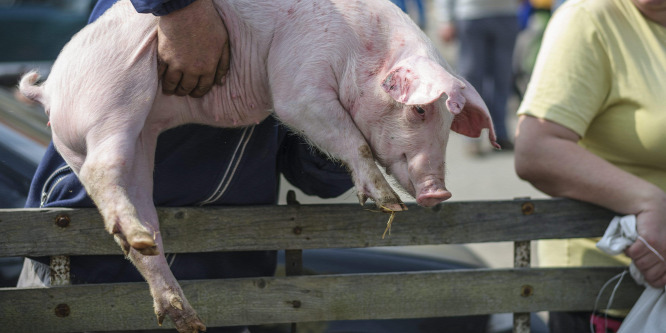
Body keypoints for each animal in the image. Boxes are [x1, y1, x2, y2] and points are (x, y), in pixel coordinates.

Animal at [18, 0, 496, 330]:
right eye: (419, 110)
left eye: (450, 123)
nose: (439, 191)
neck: (360, 51)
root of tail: (50, 90)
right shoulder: (297, 83)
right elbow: (352, 139)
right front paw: (388, 204)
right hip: (115, 101)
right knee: (100, 170)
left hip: (138, 143)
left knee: (142, 227)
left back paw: (185, 312)